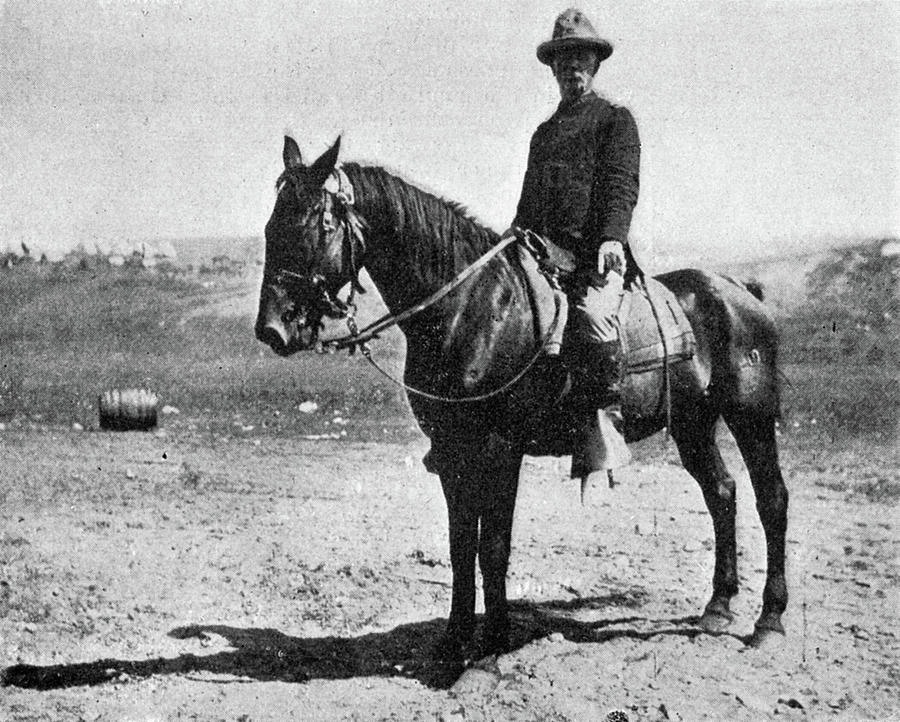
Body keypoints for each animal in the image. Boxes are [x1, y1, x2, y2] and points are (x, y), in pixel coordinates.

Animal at [253, 136, 788, 660]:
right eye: (270, 224)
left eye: (316, 225)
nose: (272, 329)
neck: (469, 308)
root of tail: (740, 290)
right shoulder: (453, 450)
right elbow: (460, 544)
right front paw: (455, 640)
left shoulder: (499, 448)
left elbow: (493, 547)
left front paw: (492, 646)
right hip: (692, 423)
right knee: (722, 492)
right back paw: (718, 607)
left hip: (751, 416)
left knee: (772, 499)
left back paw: (769, 620)